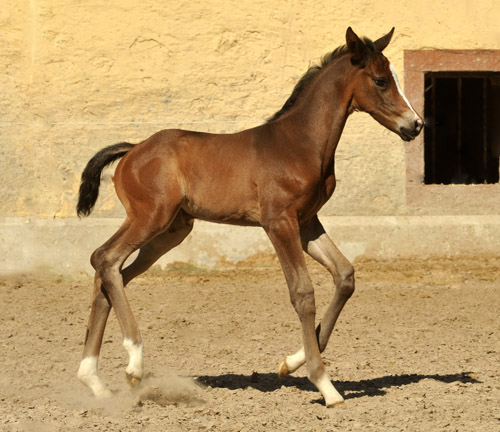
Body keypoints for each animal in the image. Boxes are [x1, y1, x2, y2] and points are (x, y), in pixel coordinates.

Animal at [77, 28, 422, 406]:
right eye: (380, 80)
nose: (415, 124)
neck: (300, 143)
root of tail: (132, 150)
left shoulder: (306, 222)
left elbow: (345, 275)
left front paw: (291, 362)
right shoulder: (278, 222)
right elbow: (302, 293)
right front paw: (324, 384)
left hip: (171, 230)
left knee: (111, 273)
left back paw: (93, 381)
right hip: (150, 217)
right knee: (105, 259)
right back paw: (134, 364)